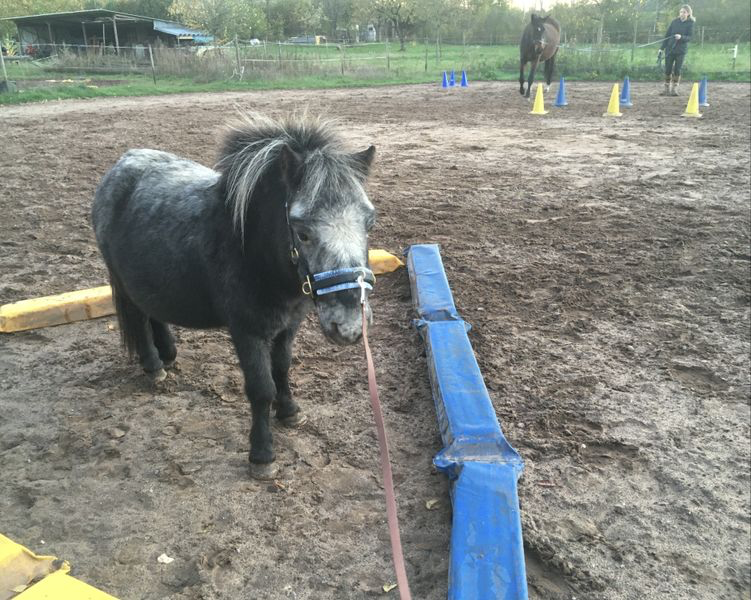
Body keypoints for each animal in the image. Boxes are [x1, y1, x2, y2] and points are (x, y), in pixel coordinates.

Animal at [92, 113, 376, 478]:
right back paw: (154, 366)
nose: (350, 325)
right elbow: (261, 388)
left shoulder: (288, 326)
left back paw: (168, 354)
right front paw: (262, 455)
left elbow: (282, 368)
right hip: (123, 283)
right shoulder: (247, 332)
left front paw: (290, 412)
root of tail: (120, 166)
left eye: (370, 222)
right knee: (139, 320)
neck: (251, 249)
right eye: (302, 232)